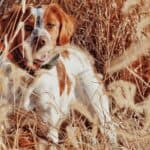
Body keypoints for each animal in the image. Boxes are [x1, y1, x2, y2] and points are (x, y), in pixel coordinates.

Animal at [0, 3, 116, 144]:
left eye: (50, 25)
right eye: (27, 27)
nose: (41, 41)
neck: (32, 75)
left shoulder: (48, 121)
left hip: (97, 104)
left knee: (110, 129)